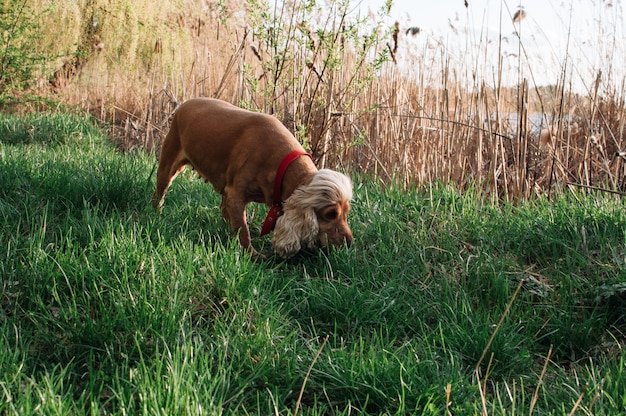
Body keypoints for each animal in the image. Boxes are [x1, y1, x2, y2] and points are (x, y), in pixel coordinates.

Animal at [151, 99, 352, 258]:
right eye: (330, 214)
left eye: (346, 213)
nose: (349, 242)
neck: (282, 164)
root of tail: (185, 104)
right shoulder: (236, 195)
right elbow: (243, 232)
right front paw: (253, 255)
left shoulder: (233, 194)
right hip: (168, 165)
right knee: (159, 192)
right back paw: (156, 213)